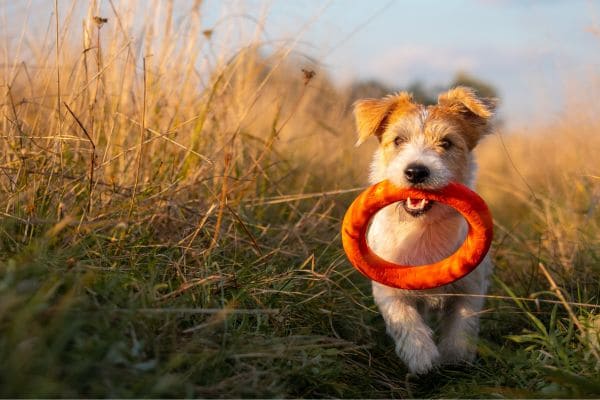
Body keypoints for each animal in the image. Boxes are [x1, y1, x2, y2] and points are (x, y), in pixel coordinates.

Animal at [354, 86, 494, 376]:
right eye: (398, 140)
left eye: (447, 143)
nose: (416, 171)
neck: (421, 227)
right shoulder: (389, 289)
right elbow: (403, 319)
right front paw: (421, 355)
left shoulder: (469, 289)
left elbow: (462, 326)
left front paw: (454, 359)